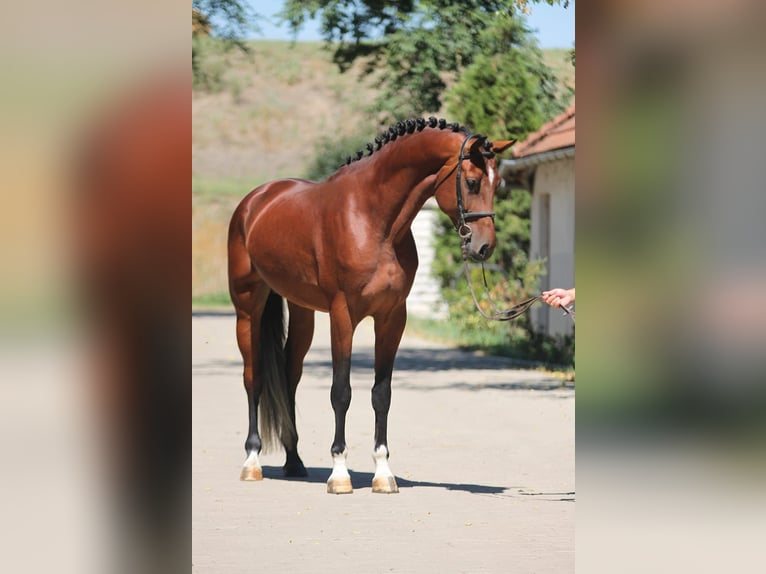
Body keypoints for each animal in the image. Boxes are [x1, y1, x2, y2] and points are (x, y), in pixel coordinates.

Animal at [230, 117, 516, 496]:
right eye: (471, 182)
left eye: (498, 183)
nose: (484, 247)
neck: (374, 221)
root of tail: (255, 201)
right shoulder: (343, 315)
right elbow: (341, 392)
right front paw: (339, 474)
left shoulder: (392, 317)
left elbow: (382, 393)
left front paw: (383, 473)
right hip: (248, 307)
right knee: (254, 378)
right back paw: (252, 462)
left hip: (303, 311)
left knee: (290, 376)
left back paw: (294, 461)